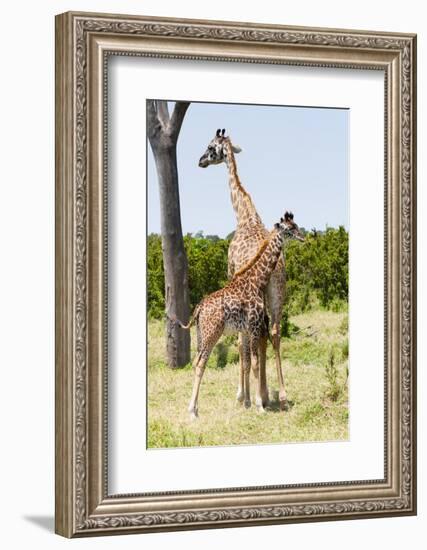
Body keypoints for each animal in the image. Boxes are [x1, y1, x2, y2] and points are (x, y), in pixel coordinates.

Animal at [174, 213, 304, 420]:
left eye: (296, 226)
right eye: (290, 229)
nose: (303, 237)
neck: (257, 280)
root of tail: (199, 309)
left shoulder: (249, 329)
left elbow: (250, 362)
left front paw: (253, 402)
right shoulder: (254, 326)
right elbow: (256, 363)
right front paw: (260, 406)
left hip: (201, 335)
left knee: (195, 362)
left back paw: (195, 409)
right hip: (212, 334)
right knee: (201, 363)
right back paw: (192, 412)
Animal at [199, 129, 290, 412]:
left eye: (210, 147)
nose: (200, 161)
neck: (245, 215)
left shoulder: (232, 277)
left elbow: (241, 342)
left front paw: (243, 395)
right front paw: (260, 393)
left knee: (257, 337)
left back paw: (260, 396)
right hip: (277, 292)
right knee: (274, 332)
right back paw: (280, 395)